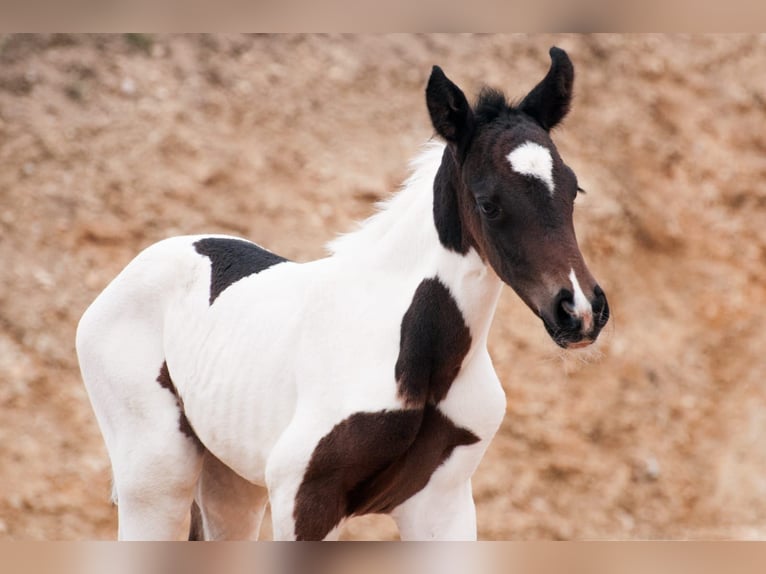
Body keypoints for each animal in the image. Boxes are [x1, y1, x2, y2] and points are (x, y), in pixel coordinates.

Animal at [76, 46, 609, 541]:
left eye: (574, 190)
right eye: (487, 203)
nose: (580, 311)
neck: (410, 356)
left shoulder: (444, 502)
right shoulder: (305, 499)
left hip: (231, 481)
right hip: (156, 475)